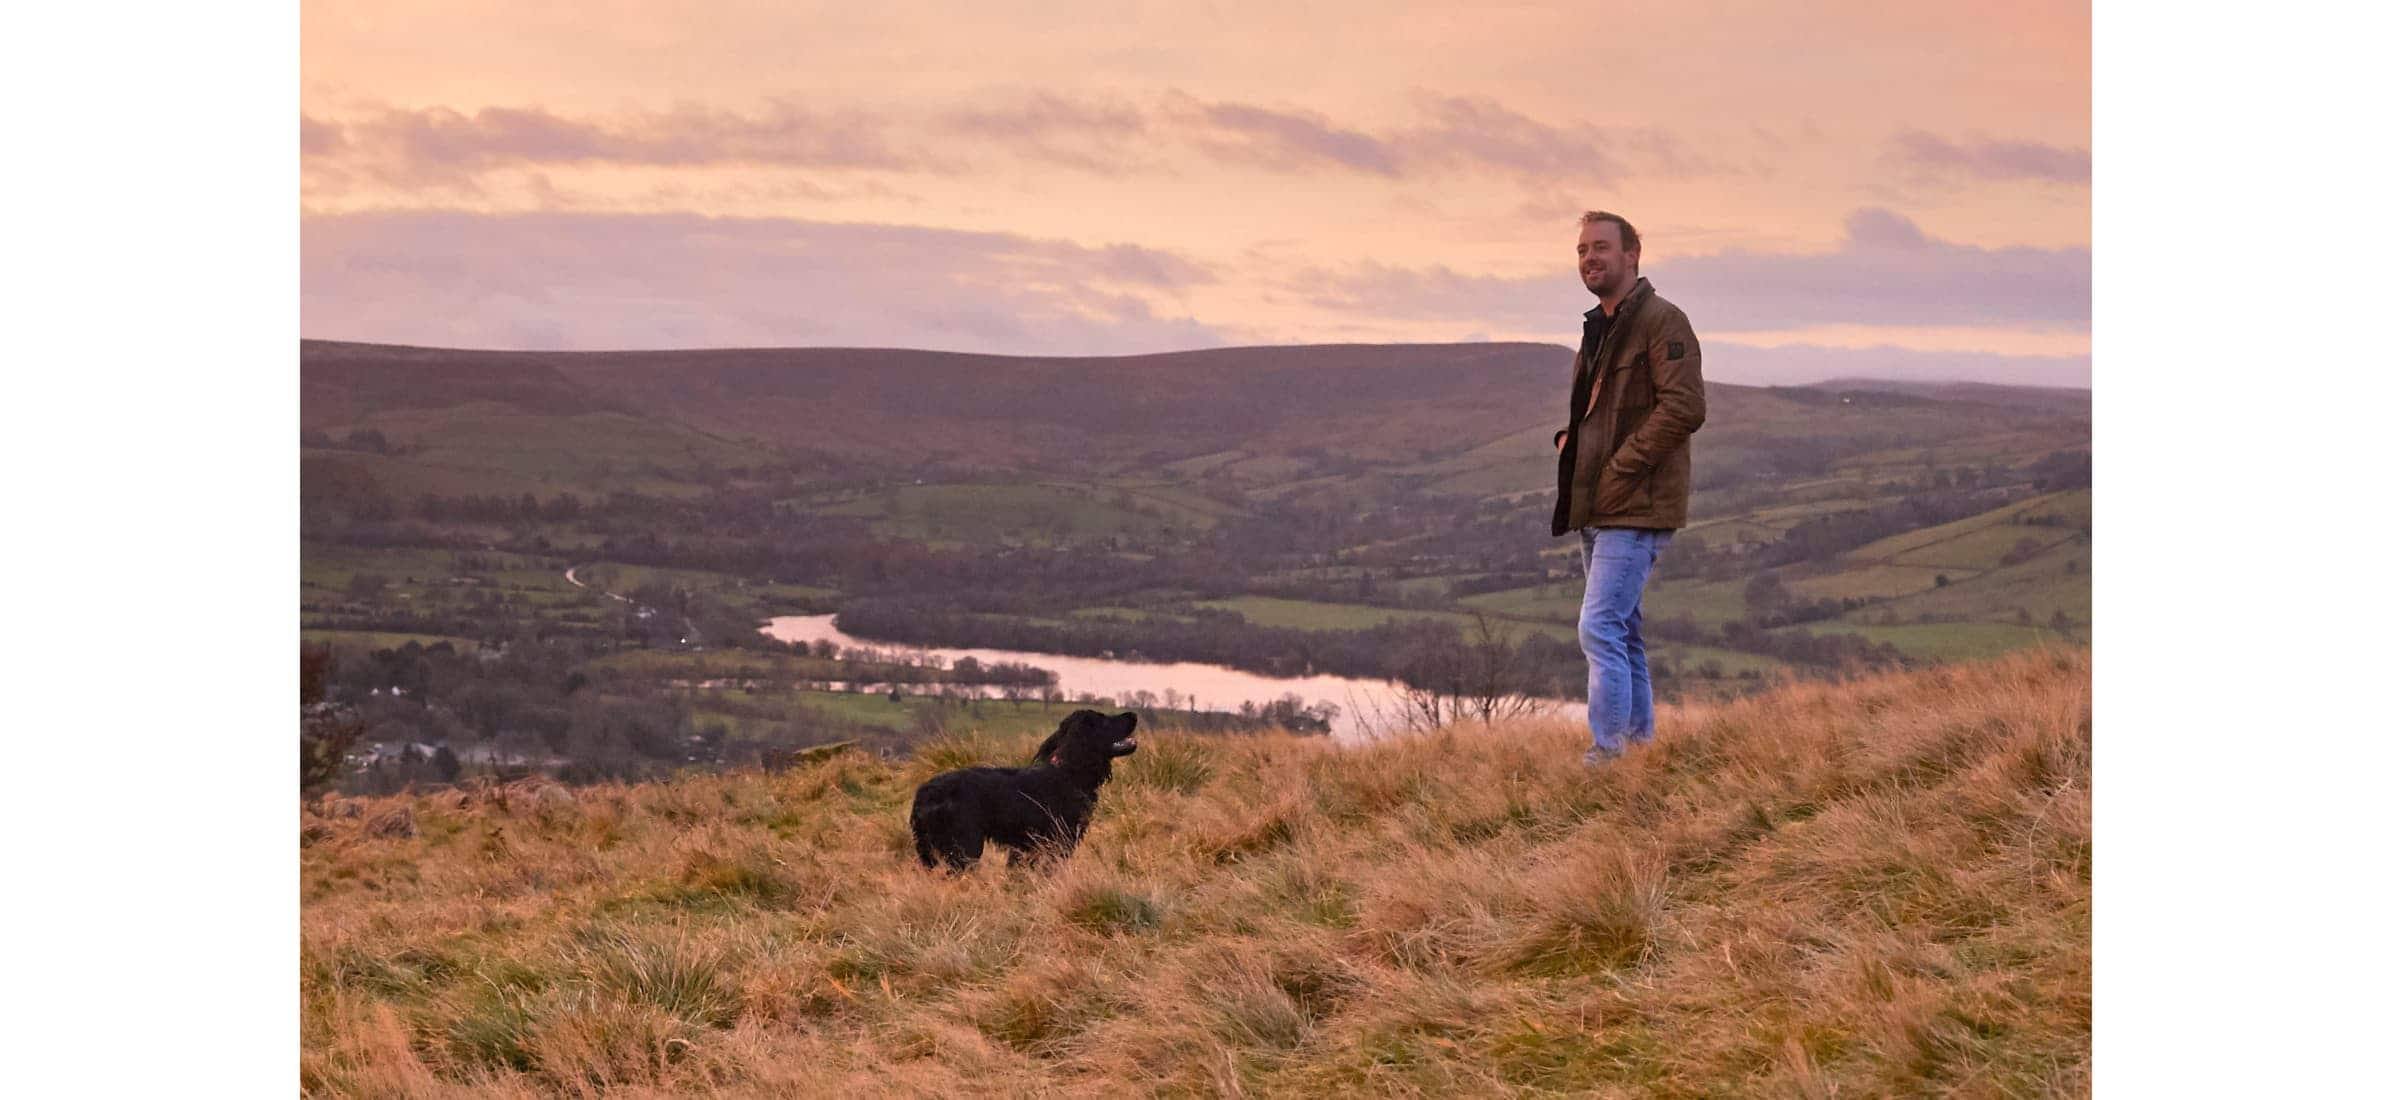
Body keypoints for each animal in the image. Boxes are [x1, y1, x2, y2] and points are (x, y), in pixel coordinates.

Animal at [908, 707, 1143, 870]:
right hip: (965, 846)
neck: (1068, 773)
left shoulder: (1026, 849)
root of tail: (923, 795)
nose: (1134, 714)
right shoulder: (1057, 843)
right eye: (1104, 720)